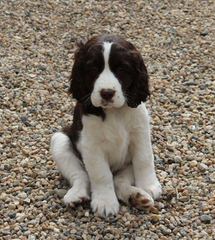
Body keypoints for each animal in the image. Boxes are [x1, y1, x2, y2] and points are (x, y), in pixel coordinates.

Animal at [50, 34, 161, 217]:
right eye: (93, 69)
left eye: (122, 69)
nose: (107, 93)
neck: (114, 113)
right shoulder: (91, 146)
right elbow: (101, 174)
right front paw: (105, 202)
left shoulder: (140, 133)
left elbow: (144, 159)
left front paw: (148, 186)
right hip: (60, 141)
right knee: (81, 175)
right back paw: (77, 195)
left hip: (125, 164)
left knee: (119, 180)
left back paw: (136, 196)